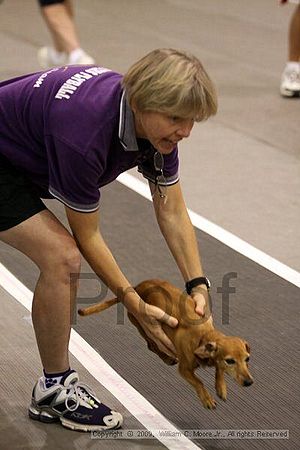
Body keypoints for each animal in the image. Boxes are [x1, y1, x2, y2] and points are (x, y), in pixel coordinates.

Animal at [78, 278, 253, 408]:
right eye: (230, 360)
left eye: (247, 359)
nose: (249, 382)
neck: (203, 335)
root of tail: (136, 288)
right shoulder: (184, 370)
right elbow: (199, 381)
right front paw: (207, 399)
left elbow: (219, 370)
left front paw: (221, 387)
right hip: (144, 326)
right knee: (151, 346)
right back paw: (167, 358)